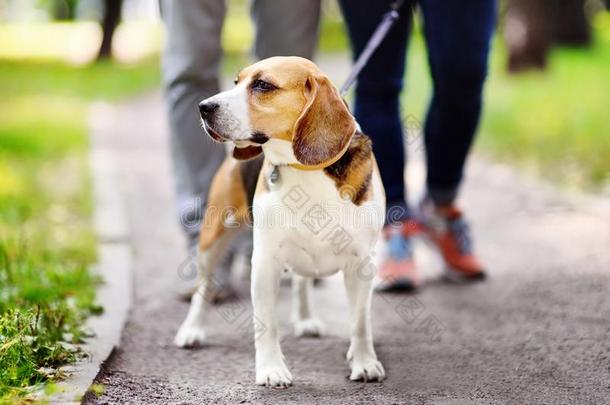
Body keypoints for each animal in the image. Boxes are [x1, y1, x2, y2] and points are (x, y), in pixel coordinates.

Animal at [172, 56, 384, 386]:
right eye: (236, 82)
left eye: (262, 85)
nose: (204, 107)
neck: (306, 169)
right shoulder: (264, 264)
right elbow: (266, 324)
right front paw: (271, 369)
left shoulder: (362, 265)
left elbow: (360, 323)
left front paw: (364, 363)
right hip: (212, 239)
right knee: (203, 288)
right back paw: (191, 330)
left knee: (301, 282)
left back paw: (306, 318)